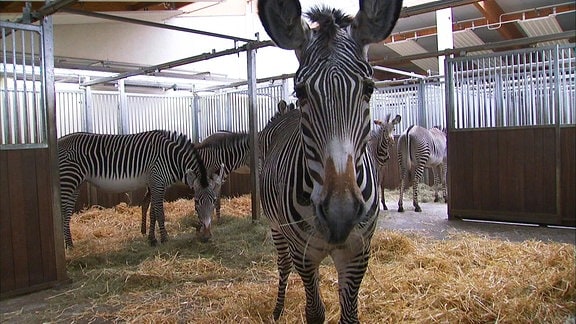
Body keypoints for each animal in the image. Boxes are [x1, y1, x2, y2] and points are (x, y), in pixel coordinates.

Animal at [58, 130, 220, 247]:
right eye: (196, 201)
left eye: (213, 201)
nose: (207, 236)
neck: (172, 158)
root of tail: (59, 140)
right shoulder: (157, 181)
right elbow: (160, 213)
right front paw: (165, 239)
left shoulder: (156, 184)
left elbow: (153, 213)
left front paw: (152, 239)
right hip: (68, 180)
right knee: (63, 213)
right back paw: (67, 247)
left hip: (77, 184)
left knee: (67, 212)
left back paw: (70, 244)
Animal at [256, 1, 400, 322]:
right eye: (300, 91)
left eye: (369, 89)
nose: (340, 214)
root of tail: (284, 113)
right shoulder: (304, 254)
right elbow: (314, 311)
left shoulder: (358, 253)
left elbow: (349, 314)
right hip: (276, 227)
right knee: (283, 265)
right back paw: (278, 309)